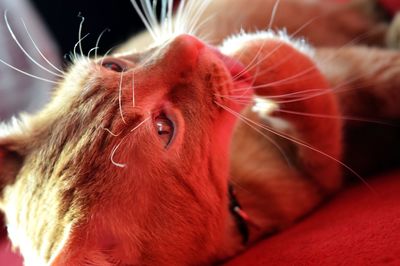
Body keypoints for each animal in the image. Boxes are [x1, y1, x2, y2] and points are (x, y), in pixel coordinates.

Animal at [0, 0, 400, 264]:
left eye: (113, 65)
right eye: (164, 128)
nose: (188, 44)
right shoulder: (327, 171)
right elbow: (321, 109)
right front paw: (255, 50)